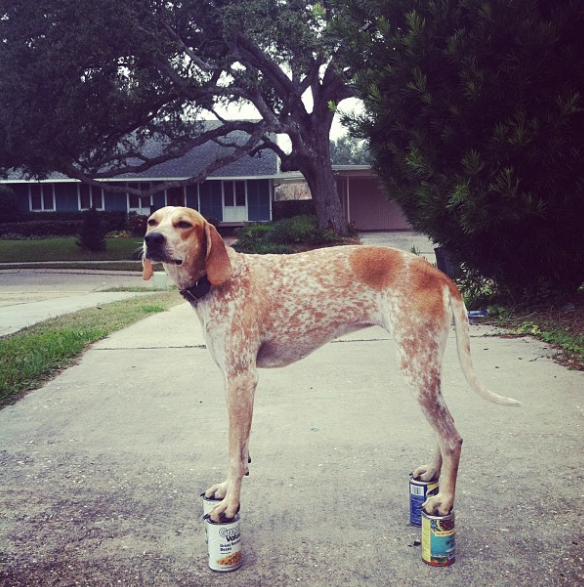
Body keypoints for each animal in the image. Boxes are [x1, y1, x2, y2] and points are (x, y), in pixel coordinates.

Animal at [143, 207, 520, 524]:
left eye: (183, 224)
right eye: (151, 221)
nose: (152, 240)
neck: (219, 280)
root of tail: (438, 273)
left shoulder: (241, 380)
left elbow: (235, 454)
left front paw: (231, 504)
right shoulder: (235, 382)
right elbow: (242, 448)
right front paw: (226, 490)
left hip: (417, 370)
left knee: (452, 437)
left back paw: (445, 501)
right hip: (424, 371)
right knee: (442, 432)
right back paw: (432, 474)